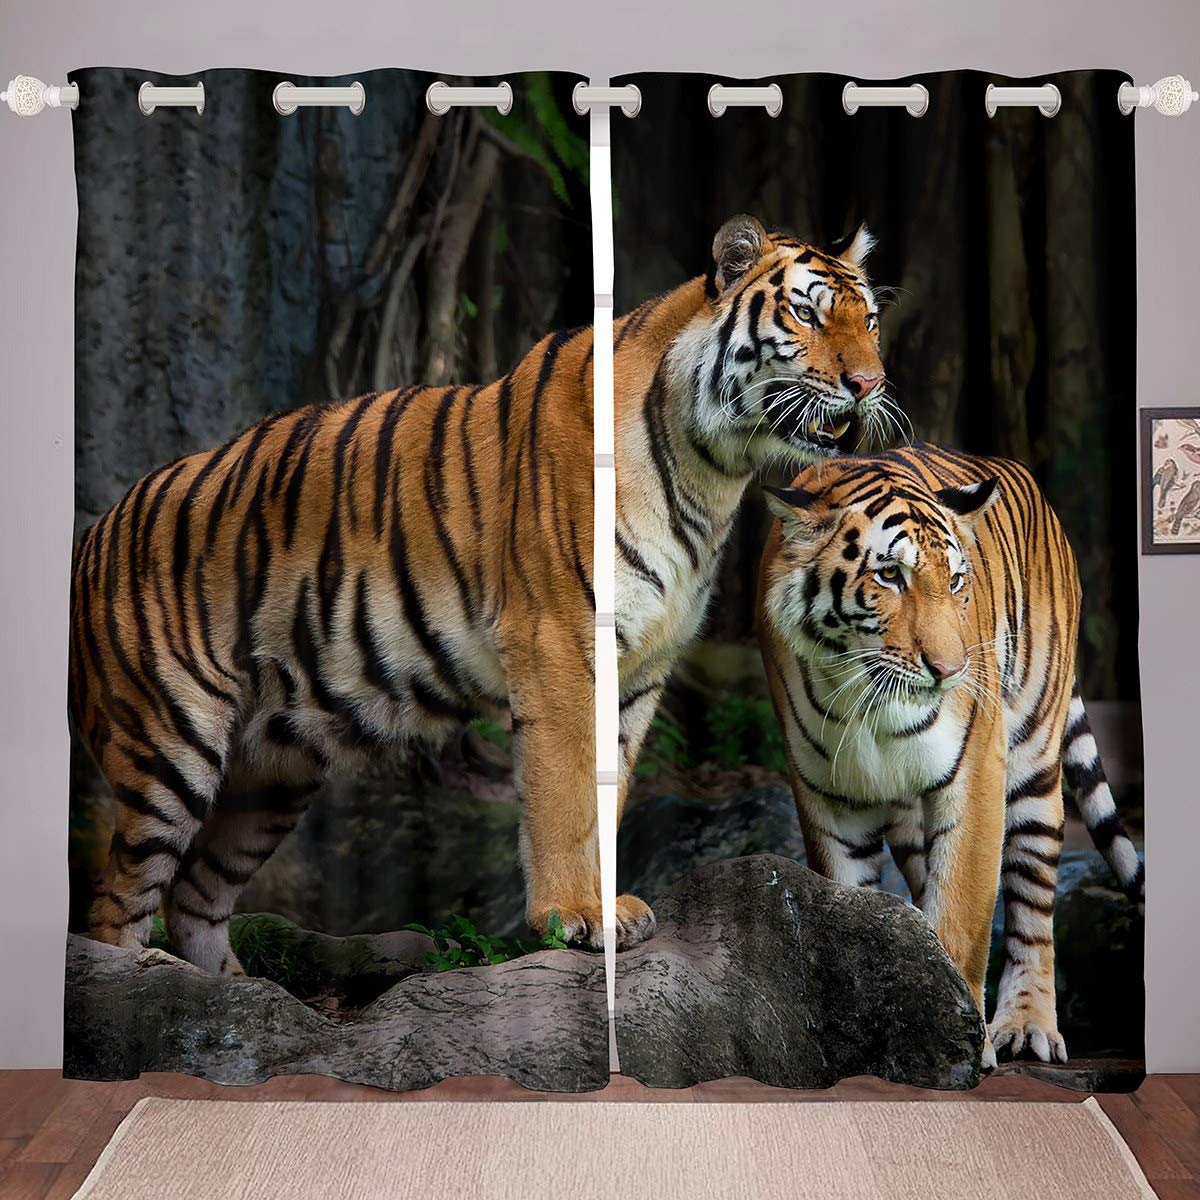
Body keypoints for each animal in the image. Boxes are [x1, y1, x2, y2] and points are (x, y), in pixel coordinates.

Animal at [70, 211, 887, 973]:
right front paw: (575, 915)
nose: (870, 384)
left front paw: (607, 903)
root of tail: (95, 530)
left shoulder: (642, 667)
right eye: (807, 314)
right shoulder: (558, 639)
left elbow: (611, 787)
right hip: (169, 742)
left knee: (195, 895)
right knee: (119, 900)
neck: (713, 473)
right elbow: (564, 789)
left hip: (274, 772)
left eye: (870, 320)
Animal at [756, 444, 1144, 1067]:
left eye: (958, 580)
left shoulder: (976, 772)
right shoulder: (830, 797)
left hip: (1032, 761)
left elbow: (961, 916)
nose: (952, 669)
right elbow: (850, 916)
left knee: (1032, 906)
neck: (867, 699)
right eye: (890, 574)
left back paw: (1028, 1025)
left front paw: (960, 1048)